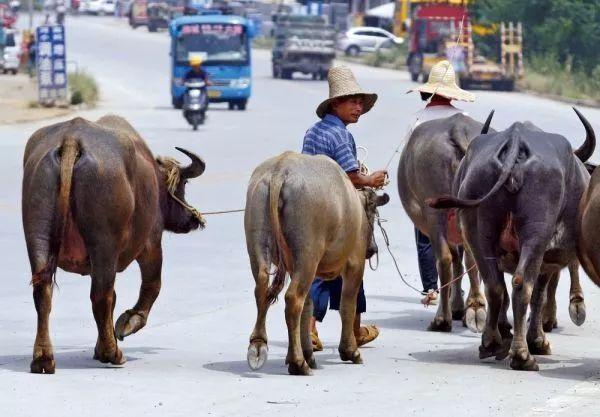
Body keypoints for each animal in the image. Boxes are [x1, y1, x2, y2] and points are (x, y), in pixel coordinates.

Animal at [22, 114, 206, 374]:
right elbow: (152, 285)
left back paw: (43, 358)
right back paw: (113, 354)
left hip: (39, 236)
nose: (193, 219)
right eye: (182, 185)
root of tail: (71, 139)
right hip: (104, 244)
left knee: (43, 291)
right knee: (101, 295)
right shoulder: (151, 242)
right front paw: (127, 323)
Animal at [244, 152, 390, 374]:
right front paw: (350, 351)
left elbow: (309, 306)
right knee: (294, 299)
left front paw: (306, 352)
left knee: (263, 287)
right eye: (372, 211)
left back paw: (259, 344)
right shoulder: (355, 263)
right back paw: (298, 363)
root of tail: (280, 169)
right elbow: (348, 304)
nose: (372, 249)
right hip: (308, 255)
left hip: (261, 243)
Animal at [398, 112, 492, 334]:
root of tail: (459, 128)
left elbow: (455, 259)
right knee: (473, 259)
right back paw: (476, 307)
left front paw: (455, 307)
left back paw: (442, 319)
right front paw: (462, 308)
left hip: (434, 212)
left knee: (445, 259)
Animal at [428, 109, 592, 368]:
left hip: (478, 230)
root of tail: (516, 142)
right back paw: (522, 355)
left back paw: (491, 342)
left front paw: (506, 331)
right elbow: (538, 296)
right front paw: (538, 342)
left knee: (494, 285)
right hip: (536, 233)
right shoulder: (547, 260)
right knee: (522, 285)